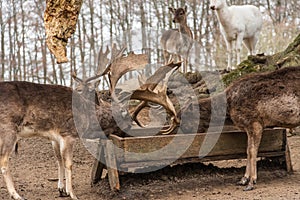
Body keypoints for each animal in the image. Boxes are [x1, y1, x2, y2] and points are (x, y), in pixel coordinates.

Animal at [0, 46, 180, 198]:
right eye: (127, 124)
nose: (127, 137)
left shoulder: (55, 138)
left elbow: (59, 160)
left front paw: (62, 190)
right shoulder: (68, 134)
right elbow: (69, 164)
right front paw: (72, 194)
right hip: (9, 129)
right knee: (4, 161)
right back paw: (16, 195)